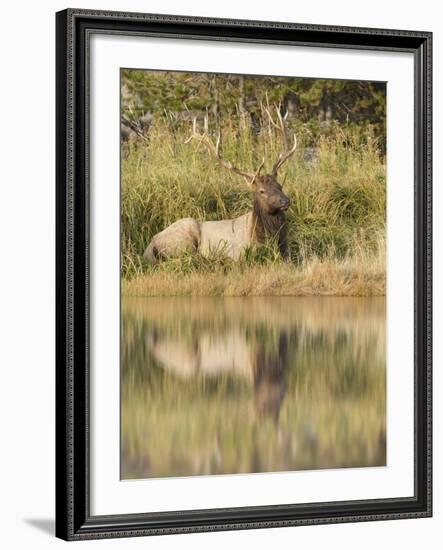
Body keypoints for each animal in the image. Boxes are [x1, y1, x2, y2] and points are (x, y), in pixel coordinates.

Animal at [144, 108, 296, 266]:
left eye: (280, 185)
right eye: (262, 191)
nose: (285, 201)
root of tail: (150, 244)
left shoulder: (287, 252)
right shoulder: (238, 253)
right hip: (184, 238)